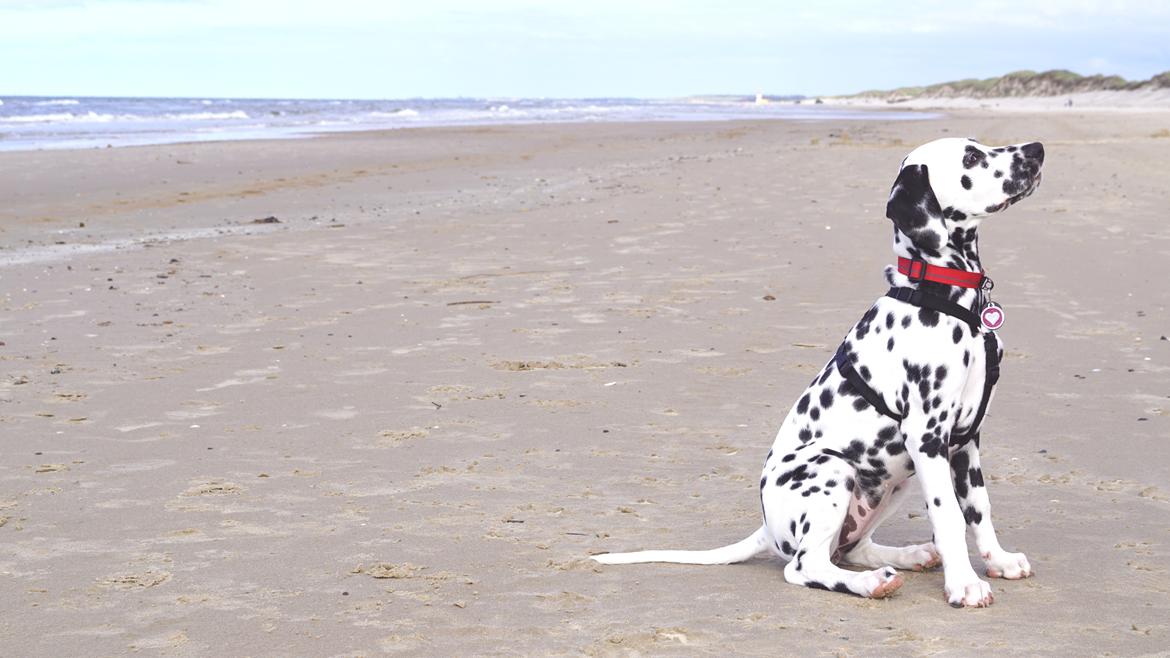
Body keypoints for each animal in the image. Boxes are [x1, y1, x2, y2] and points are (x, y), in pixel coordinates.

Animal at [594, 136, 1043, 604]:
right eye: (971, 157)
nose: (1037, 149)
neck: (943, 298)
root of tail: (767, 527)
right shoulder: (928, 435)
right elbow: (950, 514)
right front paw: (964, 584)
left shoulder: (966, 438)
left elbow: (978, 508)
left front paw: (999, 560)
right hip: (832, 470)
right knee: (804, 566)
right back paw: (871, 582)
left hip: (889, 483)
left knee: (850, 549)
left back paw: (908, 557)